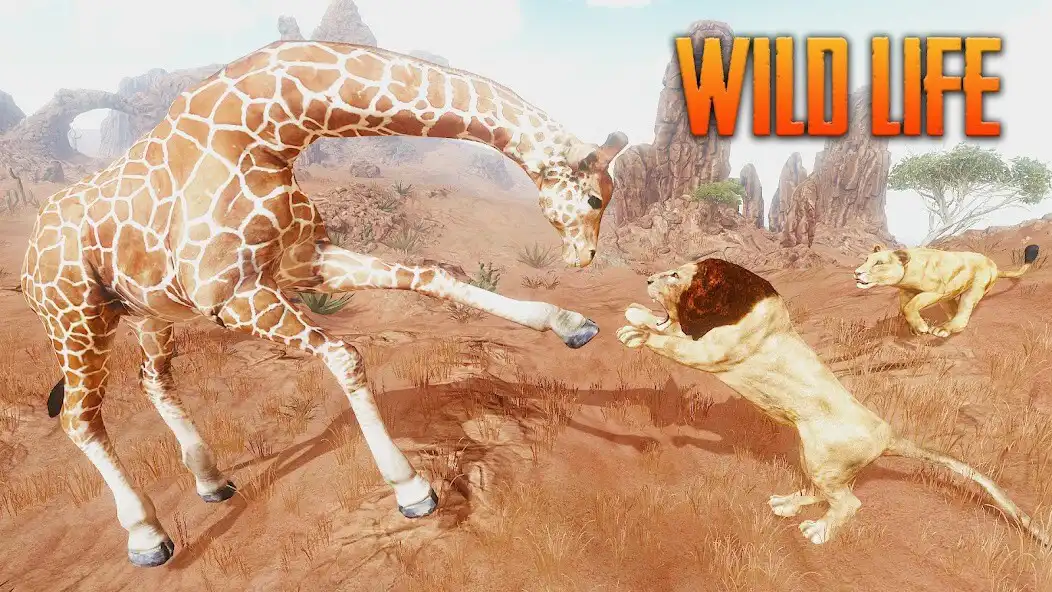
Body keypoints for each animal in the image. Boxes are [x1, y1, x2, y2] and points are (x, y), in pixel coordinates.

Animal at [20, 40, 629, 568]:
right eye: (594, 197)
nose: (582, 257)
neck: (270, 129)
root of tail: (28, 265)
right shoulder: (234, 295)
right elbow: (346, 356)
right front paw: (412, 489)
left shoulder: (301, 258)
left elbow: (428, 275)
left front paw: (571, 324)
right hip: (77, 320)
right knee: (79, 417)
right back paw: (147, 537)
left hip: (151, 313)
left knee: (153, 379)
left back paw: (212, 482)